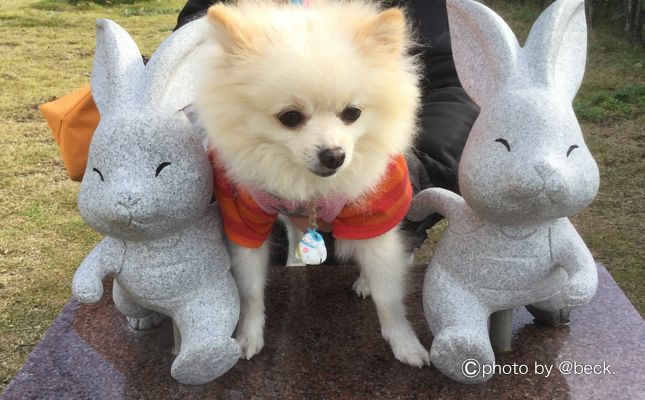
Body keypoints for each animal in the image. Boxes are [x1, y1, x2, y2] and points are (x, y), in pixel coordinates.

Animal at [196, 0, 428, 368]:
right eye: (290, 118)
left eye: (352, 113)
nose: (334, 155)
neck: (310, 190)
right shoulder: (246, 219)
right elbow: (250, 290)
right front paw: (248, 336)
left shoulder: (374, 216)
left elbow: (388, 294)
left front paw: (405, 343)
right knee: (294, 232)